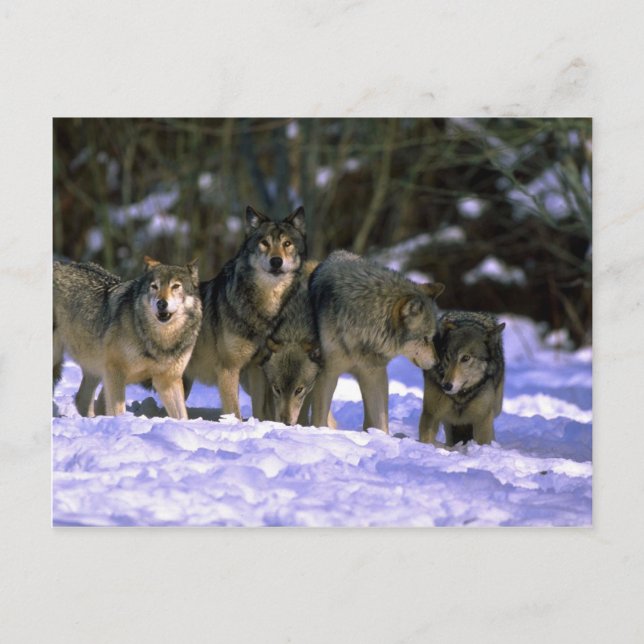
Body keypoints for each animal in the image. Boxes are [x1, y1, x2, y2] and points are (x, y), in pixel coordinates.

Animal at [53, 257, 202, 419]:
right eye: (154, 287)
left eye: (176, 286)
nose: (161, 303)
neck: (161, 340)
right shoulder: (115, 372)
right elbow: (117, 411)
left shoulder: (168, 380)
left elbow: (182, 416)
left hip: (94, 368)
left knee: (82, 399)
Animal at [184, 205, 306, 419]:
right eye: (264, 243)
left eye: (287, 243)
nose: (276, 261)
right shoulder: (228, 369)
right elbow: (235, 412)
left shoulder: (257, 369)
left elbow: (260, 410)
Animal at [309, 250, 444, 433]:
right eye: (425, 338)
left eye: (431, 338)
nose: (437, 363)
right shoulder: (327, 373)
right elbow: (319, 417)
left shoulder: (374, 374)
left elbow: (381, 422)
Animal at [419, 311, 505, 446]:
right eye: (448, 357)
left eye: (466, 358)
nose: (446, 386)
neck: (460, 396)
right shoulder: (431, 414)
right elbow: (426, 440)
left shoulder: (482, 419)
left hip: (496, 408)